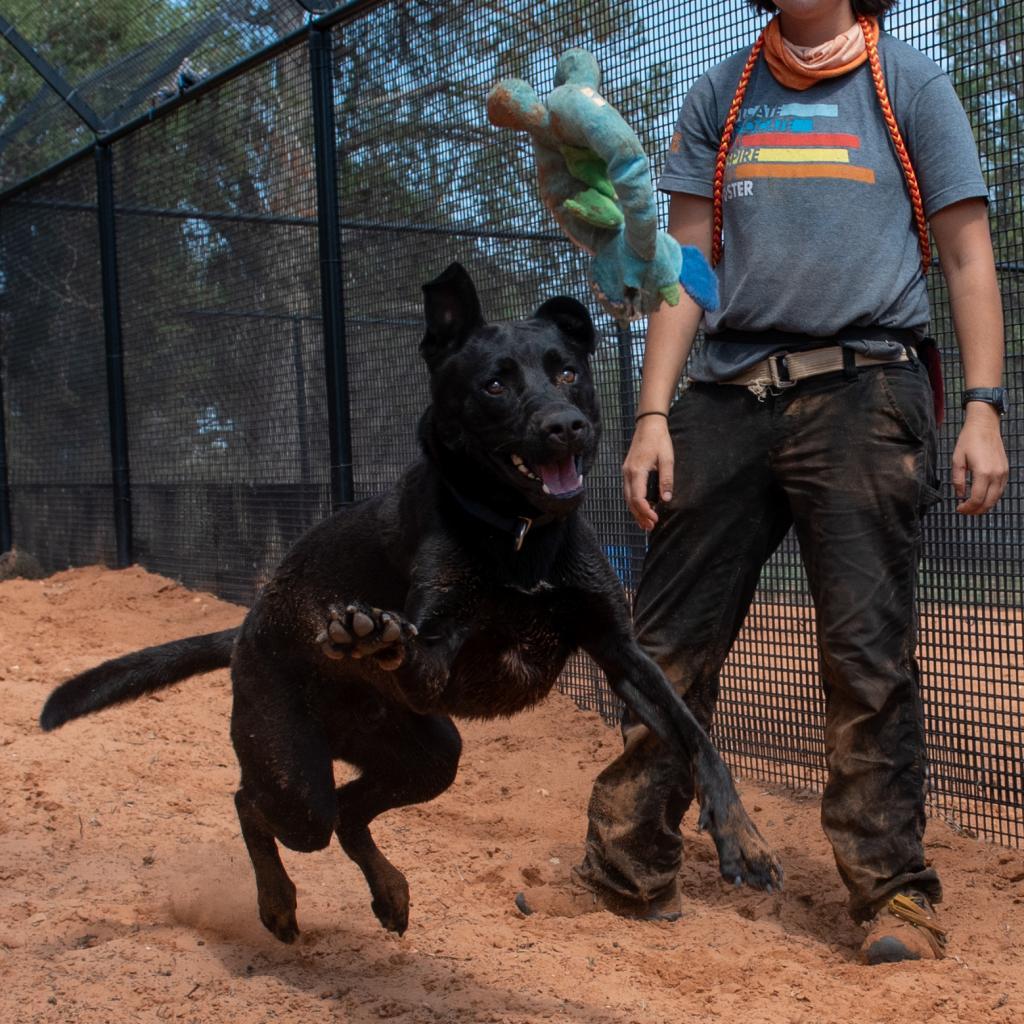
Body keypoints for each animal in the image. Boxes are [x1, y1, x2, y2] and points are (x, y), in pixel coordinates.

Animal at [36, 264, 778, 942]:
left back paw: (389, 892)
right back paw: (277, 903)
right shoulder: (440, 647)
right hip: (290, 771)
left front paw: (743, 835)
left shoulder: (618, 650)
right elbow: (414, 646)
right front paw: (376, 637)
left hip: (429, 756)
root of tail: (247, 626)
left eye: (567, 373)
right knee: (258, 802)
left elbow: (693, 732)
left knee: (348, 813)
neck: (517, 537)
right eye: (495, 384)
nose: (566, 426)